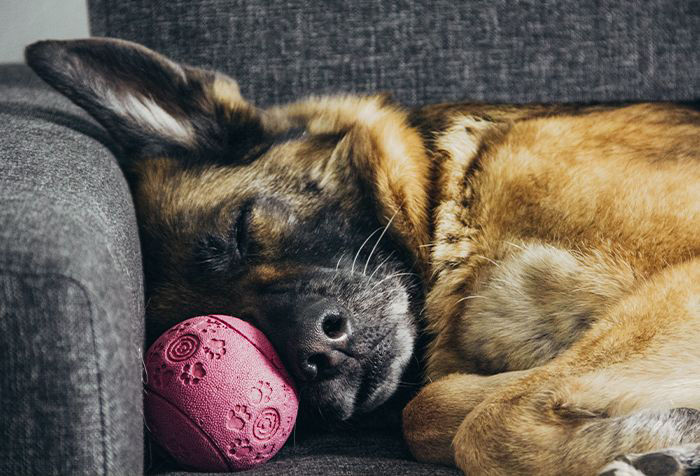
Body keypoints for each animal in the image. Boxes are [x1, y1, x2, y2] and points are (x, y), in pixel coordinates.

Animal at [26, 38, 700, 476]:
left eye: (241, 230)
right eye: (218, 325)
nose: (316, 353)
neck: (448, 195)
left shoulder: (682, 279)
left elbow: (491, 422)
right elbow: (435, 412)